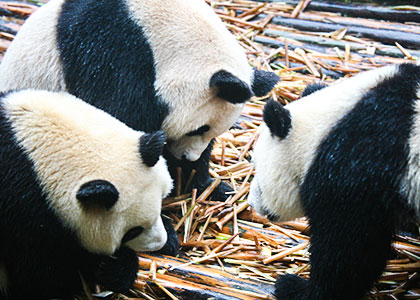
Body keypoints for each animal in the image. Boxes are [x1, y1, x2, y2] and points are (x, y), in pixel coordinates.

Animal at [0, 89, 172, 300]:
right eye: (133, 231)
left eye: (160, 204)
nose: (159, 243)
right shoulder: (22, 211)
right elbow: (43, 275)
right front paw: (113, 269)